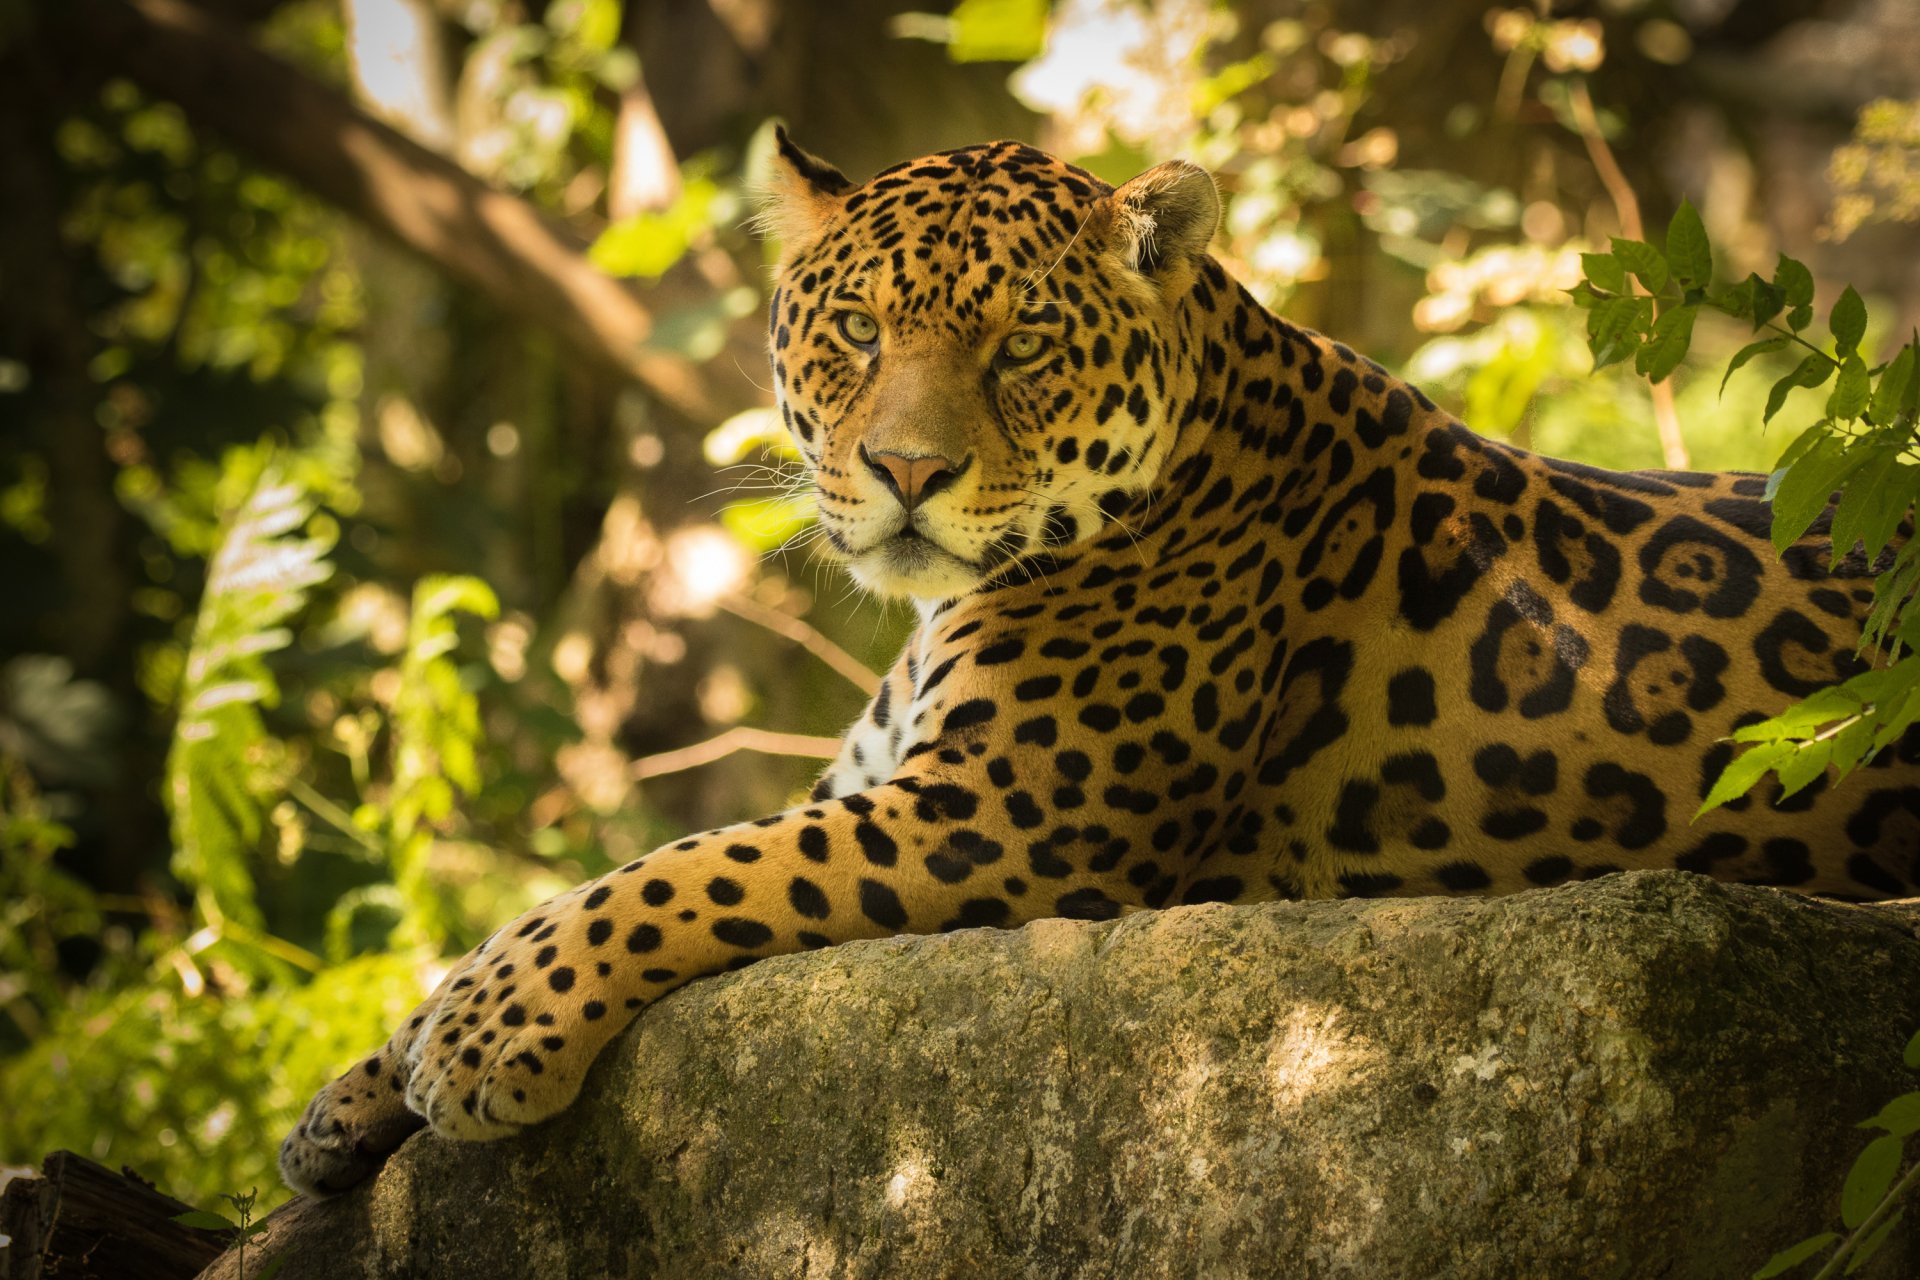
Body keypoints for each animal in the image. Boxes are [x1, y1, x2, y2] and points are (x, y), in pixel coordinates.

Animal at [279, 130, 1920, 1196]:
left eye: (1021, 349)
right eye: (857, 327)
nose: (907, 472)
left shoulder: (1001, 816)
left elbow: (679, 868)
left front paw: (489, 1034)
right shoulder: (879, 782)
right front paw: (345, 1103)